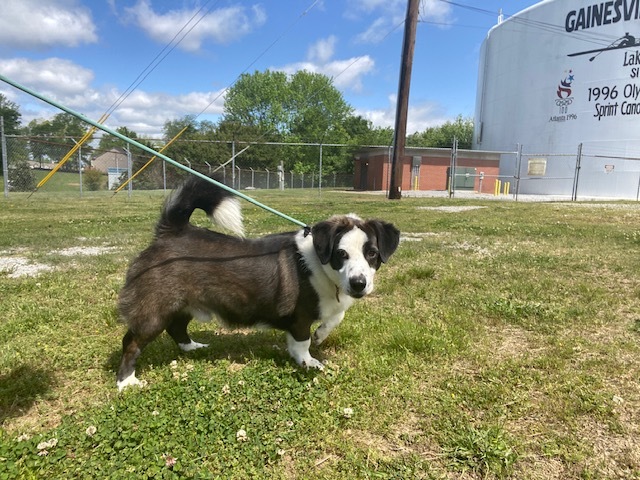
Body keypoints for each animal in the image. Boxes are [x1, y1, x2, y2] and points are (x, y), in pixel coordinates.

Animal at [114, 176, 396, 390]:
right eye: (341, 254)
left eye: (372, 254)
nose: (358, 284)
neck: (321, 263)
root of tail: (170, 232)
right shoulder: (300, 317)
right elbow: (302, 343)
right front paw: (308, 362)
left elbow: (336, 317)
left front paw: (321, 334)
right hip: (155, 311)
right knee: (132, 342)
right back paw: (126, 381)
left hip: (183, 304)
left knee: (176, 327)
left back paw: (192, 347)